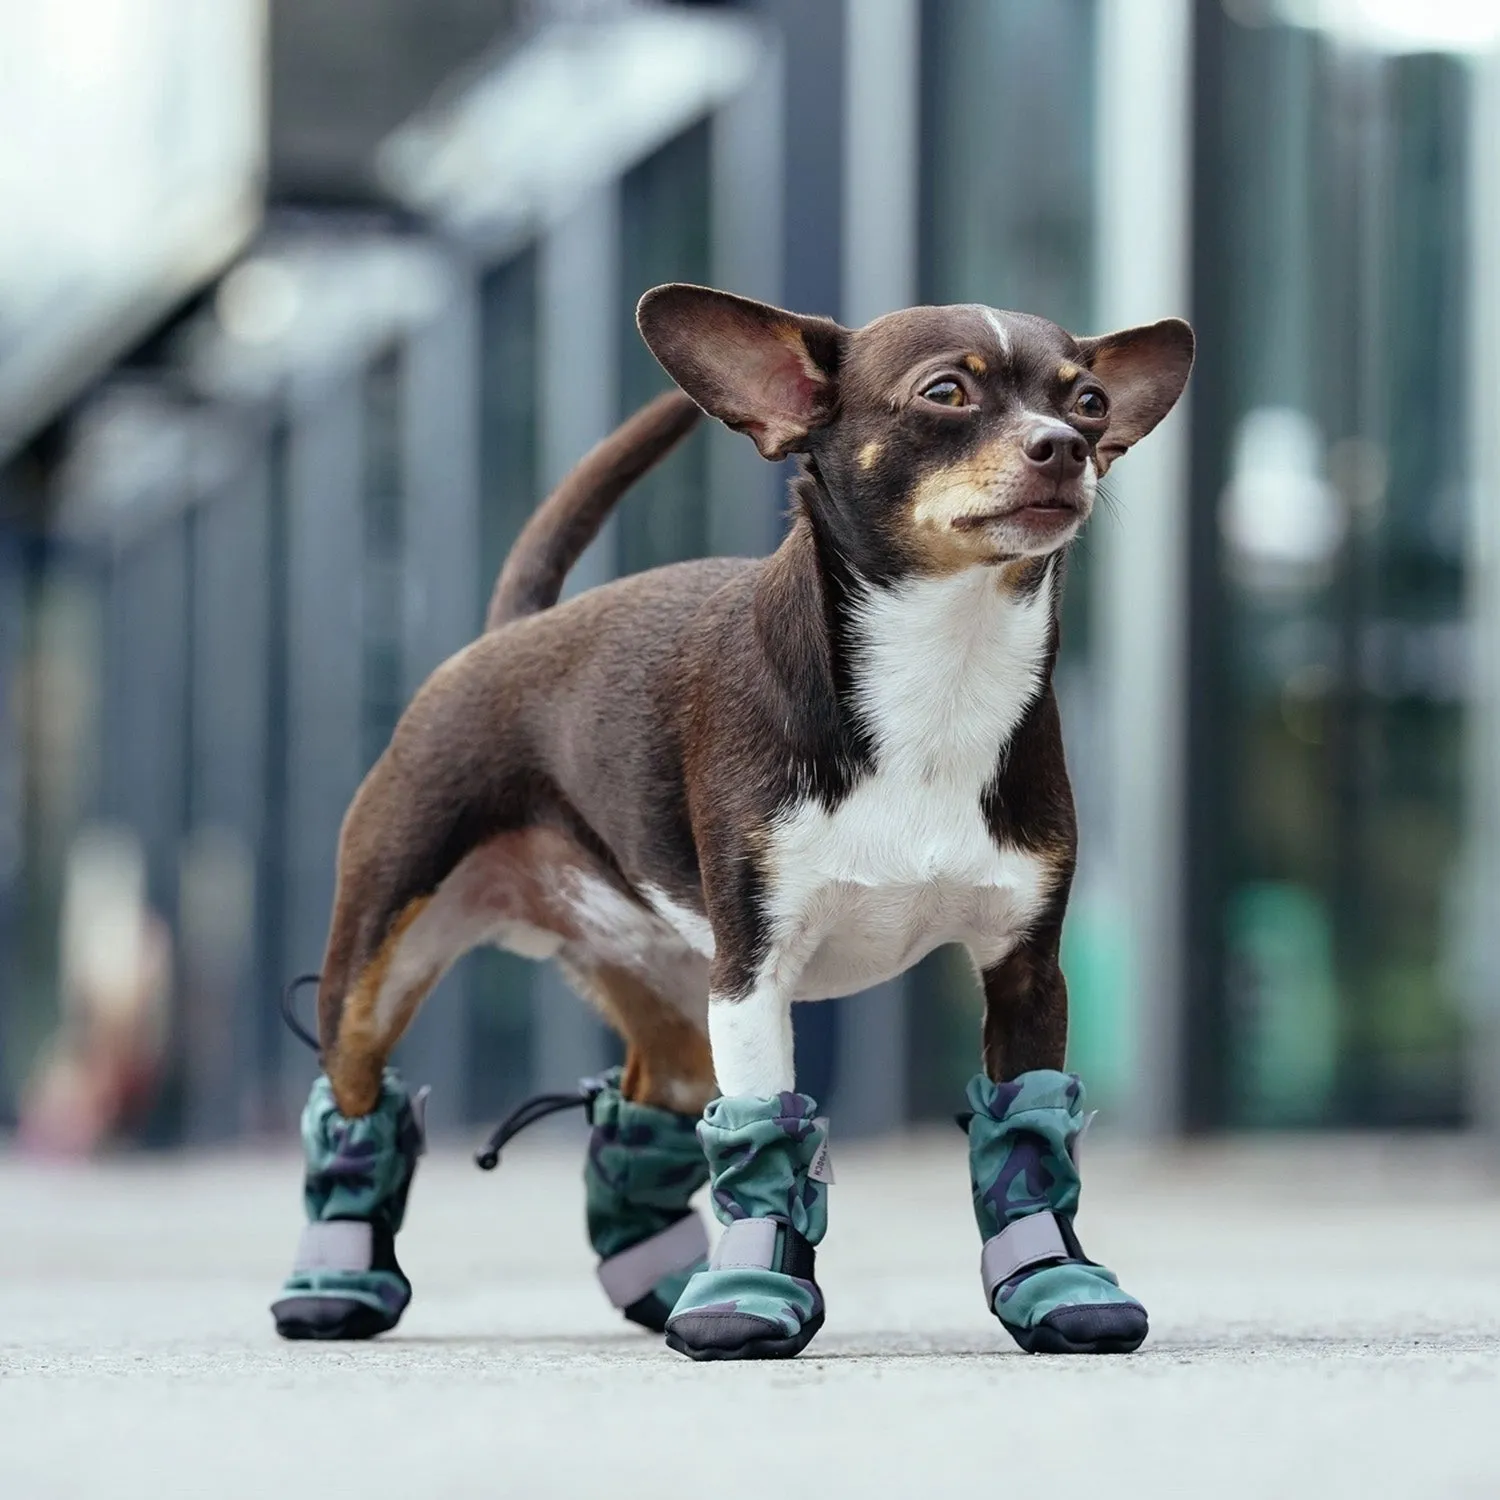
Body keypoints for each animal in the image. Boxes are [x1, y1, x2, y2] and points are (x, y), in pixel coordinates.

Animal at [273, 282, 1194, 1362]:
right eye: (946, 393)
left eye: (1088, 402)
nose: (1065, 445)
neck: (941, 673)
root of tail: (512, 630)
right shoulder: (754, 974)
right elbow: (762, 1127)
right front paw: (752, 1291)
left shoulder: (1026, 974)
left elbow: (1029, 1133)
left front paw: (1052, 1281)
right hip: (382, 962)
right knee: (354, 1094)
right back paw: (337, 1279)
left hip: (668, 989)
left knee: (638, 1110)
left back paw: (662, 1281)